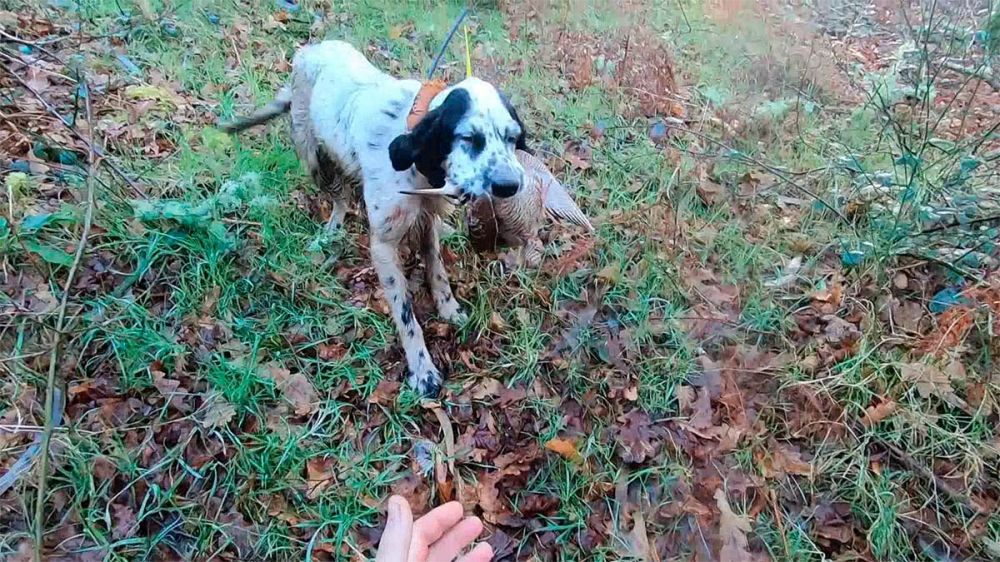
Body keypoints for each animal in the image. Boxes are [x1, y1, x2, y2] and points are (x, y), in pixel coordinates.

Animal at [222, 40, 528, 394]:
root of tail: (309, 50)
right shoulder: (383, 245)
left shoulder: (427, 219)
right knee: (339, 198)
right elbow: (406, 315)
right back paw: (332, 229)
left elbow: (436, 269)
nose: (510, 185)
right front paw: (422, 369)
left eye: (511, 137)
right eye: (468, 138)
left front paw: (448, 307)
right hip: (311, 155)